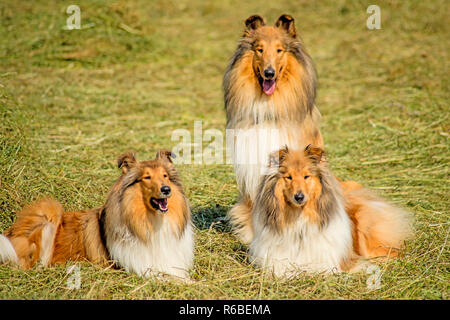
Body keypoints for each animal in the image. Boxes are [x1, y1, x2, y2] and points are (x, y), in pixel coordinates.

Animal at [0, 151, 193, 278]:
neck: (153, 222)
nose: (166, 190)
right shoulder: (143, 268)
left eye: (165, 176)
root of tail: (9, 233)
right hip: (48, 212)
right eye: (147, 177)